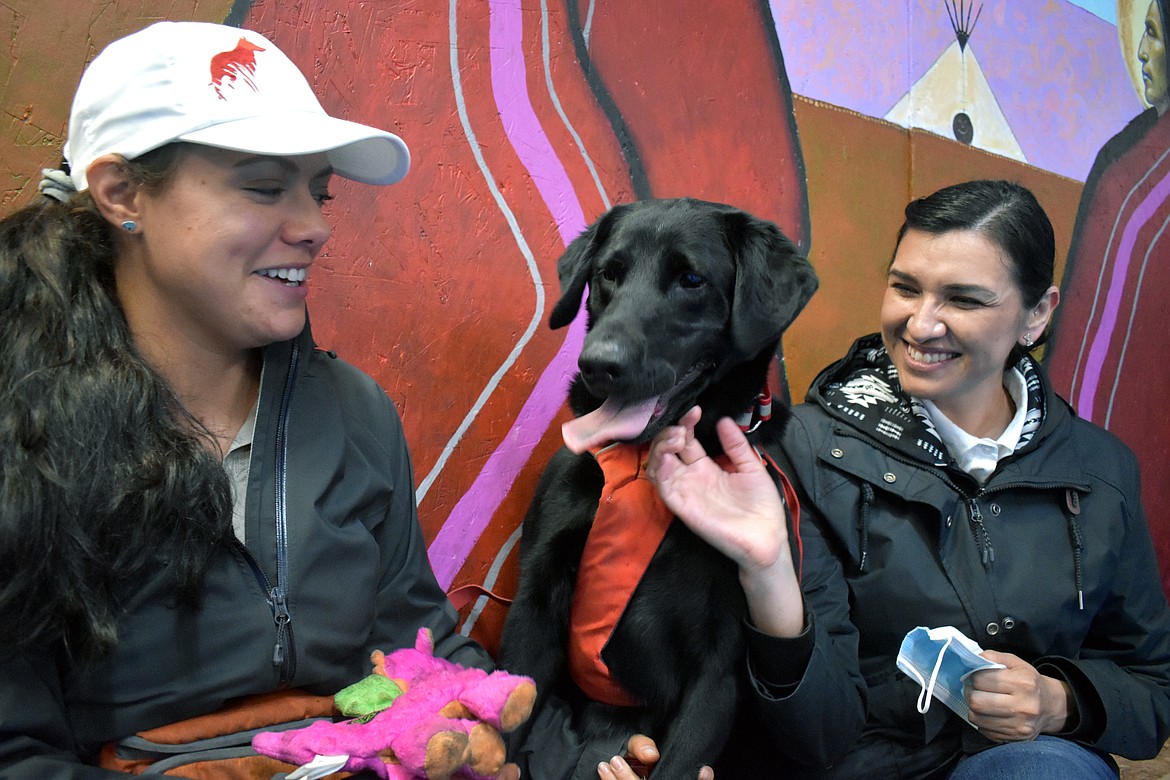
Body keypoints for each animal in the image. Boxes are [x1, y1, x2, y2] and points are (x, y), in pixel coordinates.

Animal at [498, 196, 819, 776]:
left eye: (691, 279)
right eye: (608, 274)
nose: (597, 365)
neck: (643, 467)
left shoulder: (719, 671)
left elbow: (680, 759)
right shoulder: (533, 607)